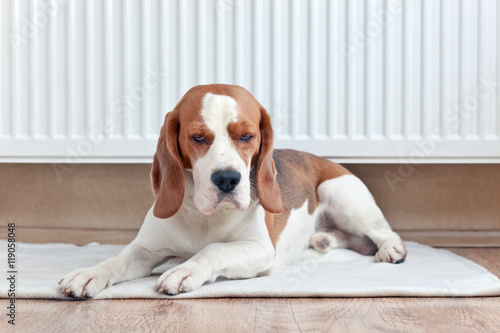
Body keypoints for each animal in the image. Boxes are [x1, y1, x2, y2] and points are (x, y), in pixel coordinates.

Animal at [60, 84, 408, 296]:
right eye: (198, 137)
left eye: (247, 136)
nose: (227, 179)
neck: (203, 217)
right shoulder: (145, 249)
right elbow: (116, 261)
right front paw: (88, 274)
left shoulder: (259, 248)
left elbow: (214, 250)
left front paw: (184, 271)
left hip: (340, 193)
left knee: (383, 232)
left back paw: (391, 249)